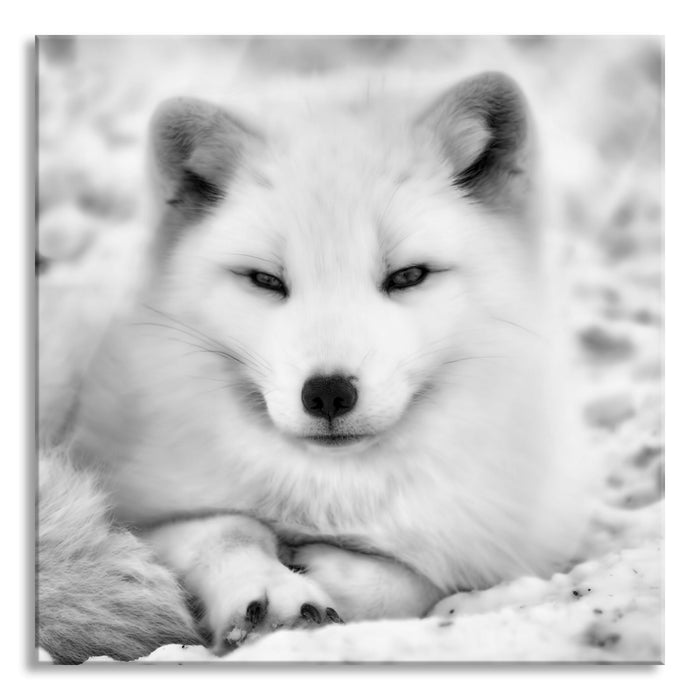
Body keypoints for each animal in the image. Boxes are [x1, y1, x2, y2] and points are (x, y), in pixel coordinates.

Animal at [37, 71, 592, 662]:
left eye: (408, 275)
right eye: (265, 280)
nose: (327, 393)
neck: (332, 492)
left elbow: (420, 578)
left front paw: (335, 576)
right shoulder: (135, 513)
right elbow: (226, 528)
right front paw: (271, 592)